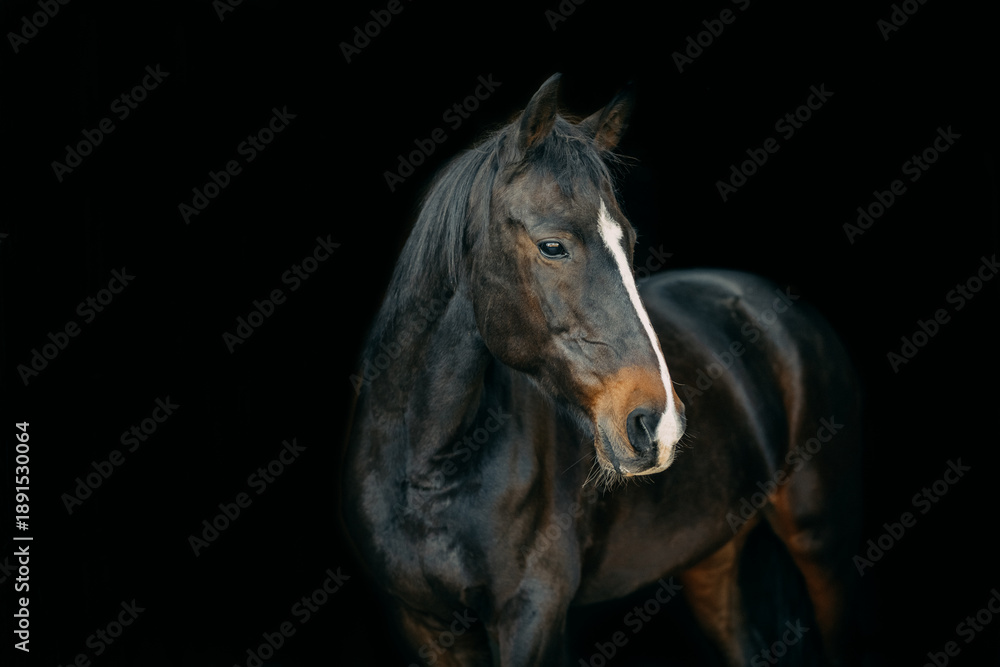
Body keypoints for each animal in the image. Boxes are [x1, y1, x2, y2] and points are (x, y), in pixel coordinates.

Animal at [342, 73, 862, 666]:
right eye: (552, 245)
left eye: (629, 241)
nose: (660, 425)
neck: (427, 472)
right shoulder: (423, 625)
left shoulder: (532, 617)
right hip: (713, 560)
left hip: (824, 550)